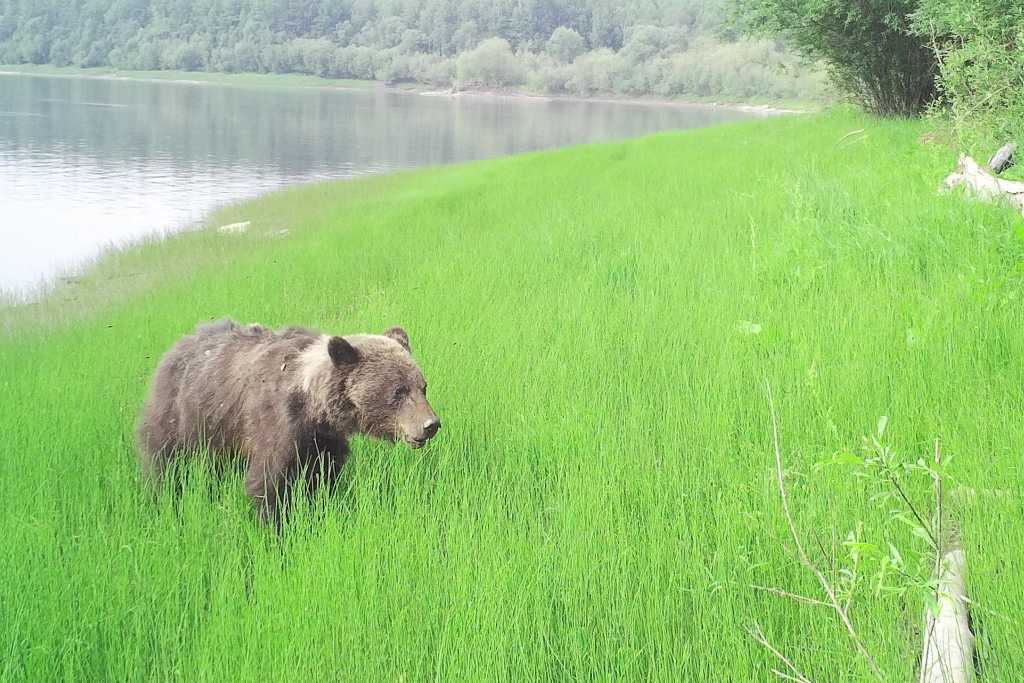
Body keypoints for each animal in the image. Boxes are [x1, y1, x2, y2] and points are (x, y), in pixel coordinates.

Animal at [136, 318, 440, 519]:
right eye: (398, 391)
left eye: (422, 386)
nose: (431, 425)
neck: (311, 403)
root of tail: (172, 350)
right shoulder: (275, 426)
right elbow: (269, 485)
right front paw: (277, 529)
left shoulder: (322, 441)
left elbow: (322, 478)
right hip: (178, 420)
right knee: (167, 468)